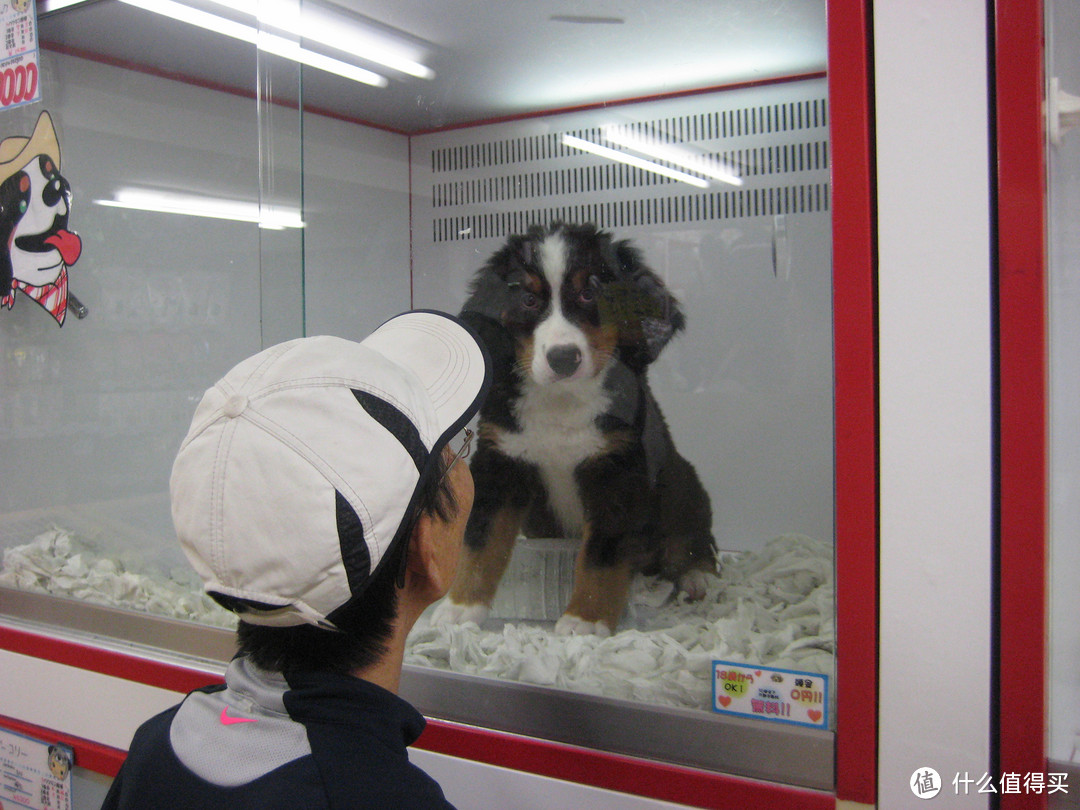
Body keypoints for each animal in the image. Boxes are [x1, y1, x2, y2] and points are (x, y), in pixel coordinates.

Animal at [429, 223, 717, 639]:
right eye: (528, 300)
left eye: (589, 293)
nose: (563, 358)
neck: (561, 401)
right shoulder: (502, 462)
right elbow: (481, 542)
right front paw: (460, 607)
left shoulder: (618, 470)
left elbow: (602, 556)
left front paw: (586, 619)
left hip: (682, 483)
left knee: (689, 538)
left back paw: (698, 578)